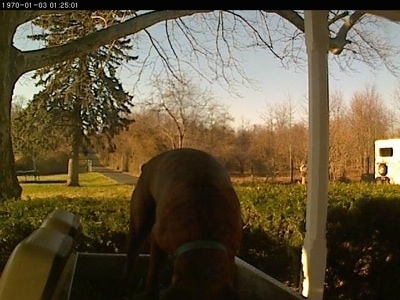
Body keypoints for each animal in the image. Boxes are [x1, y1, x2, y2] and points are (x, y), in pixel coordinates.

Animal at [122, 148, 242, 300]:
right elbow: (153, 274)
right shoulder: (157, 241)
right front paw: (150, 294)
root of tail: (148, 164)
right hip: (139, 226)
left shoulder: (230, 254)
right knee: (131, 258)